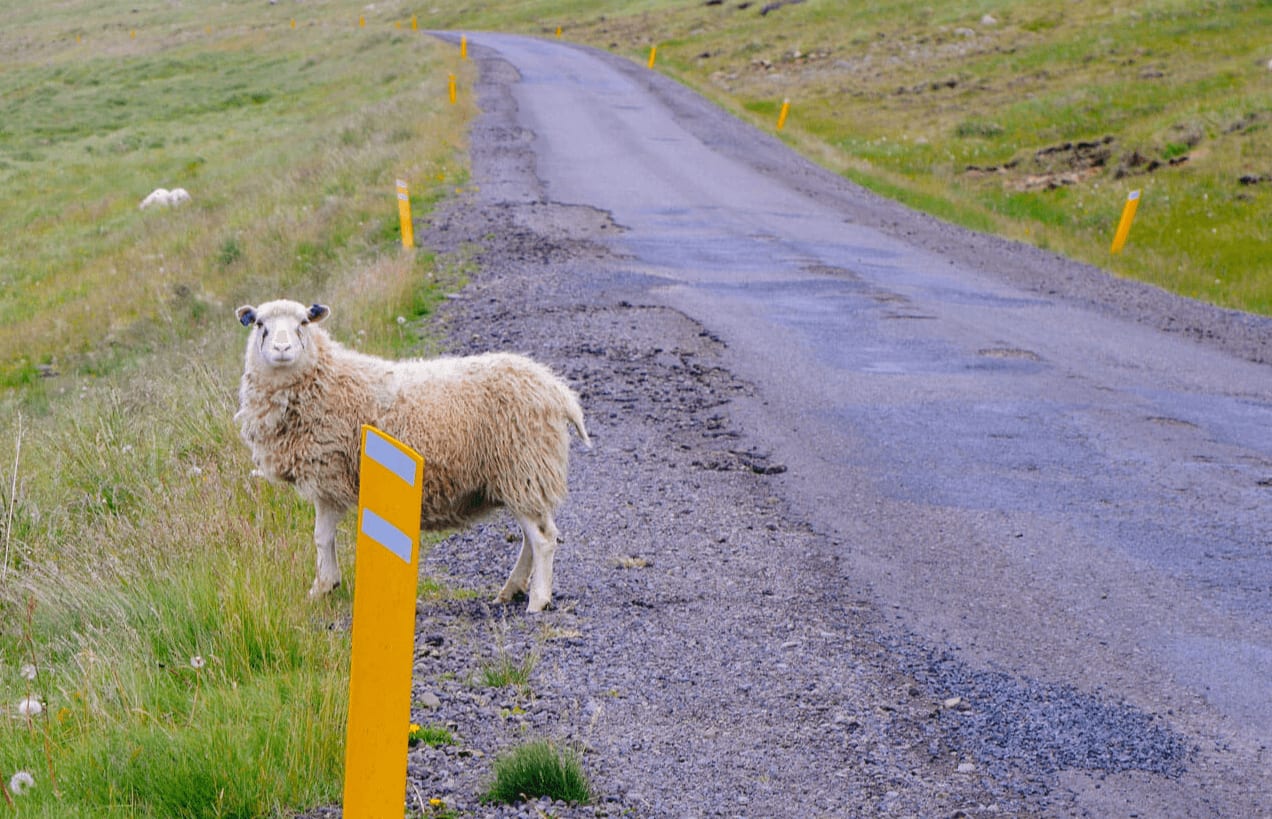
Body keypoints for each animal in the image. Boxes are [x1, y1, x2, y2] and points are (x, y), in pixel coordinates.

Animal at [233, 299, 590, 612]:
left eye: (303, 323)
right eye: (261, 325)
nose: (282, 349)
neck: (325, 380)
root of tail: (558, 390)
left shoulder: (328, 473)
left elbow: (321, 537)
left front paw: (322, 586)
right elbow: (323, 537)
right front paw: (325, 585)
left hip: (523, 466)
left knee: (543, 539)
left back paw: (538, 601)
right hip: (523, 476)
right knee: (535, 537)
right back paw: (510, 590)